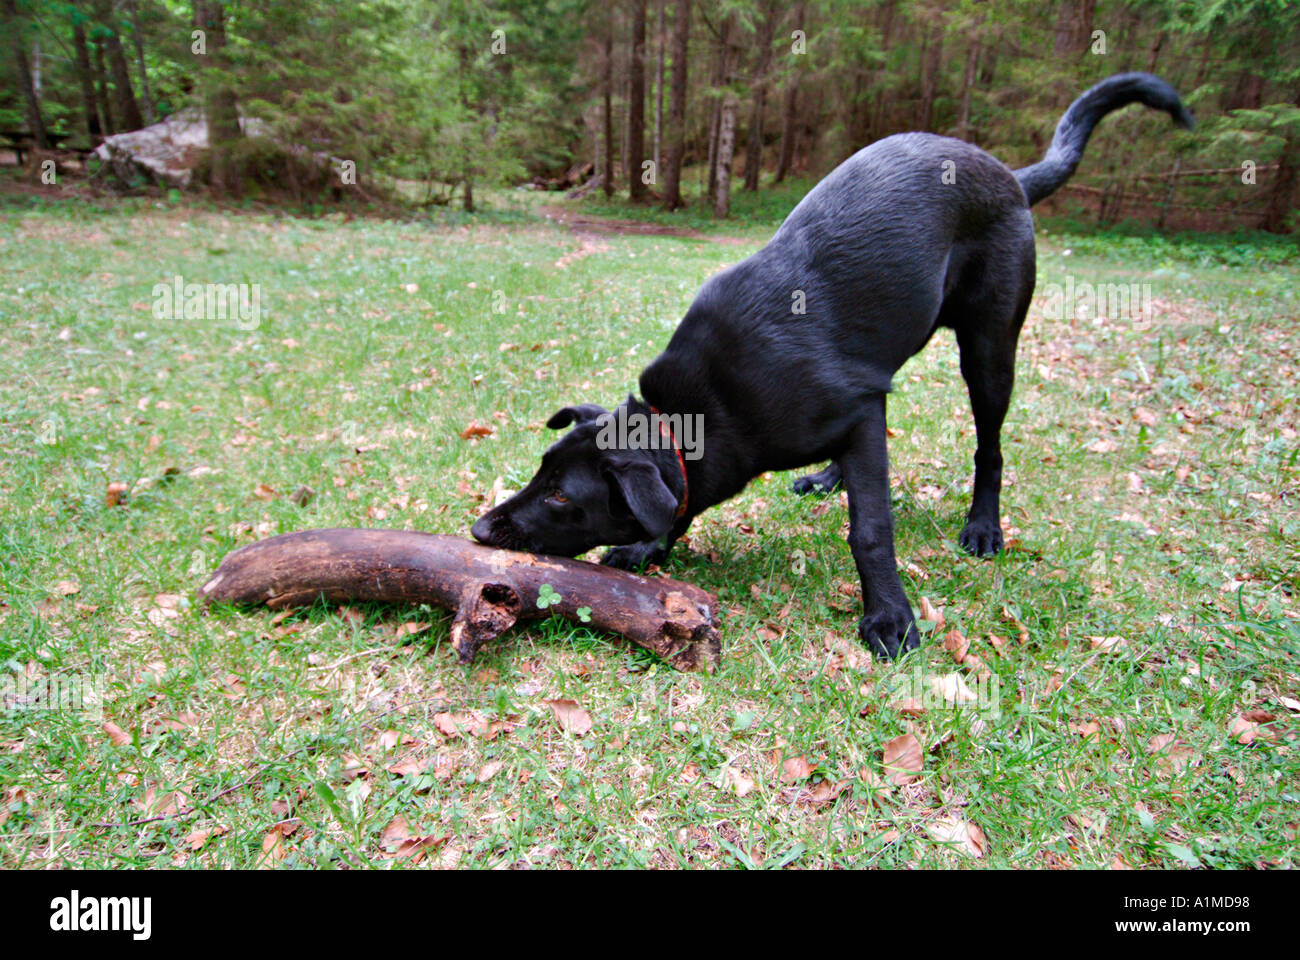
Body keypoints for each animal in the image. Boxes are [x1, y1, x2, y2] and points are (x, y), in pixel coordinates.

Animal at [473, 74, 1190, 658]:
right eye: (540, 471)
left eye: (563, 496)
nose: (481, 530)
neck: (701, 411)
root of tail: (1010, 174)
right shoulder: (857, 410)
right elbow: (682, 504)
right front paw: (652, 546)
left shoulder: (860, 414)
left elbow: (870, 529)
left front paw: (890, 616)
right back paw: (828, 478)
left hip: (989, 350)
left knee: (989, 445)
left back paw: (983, 526)